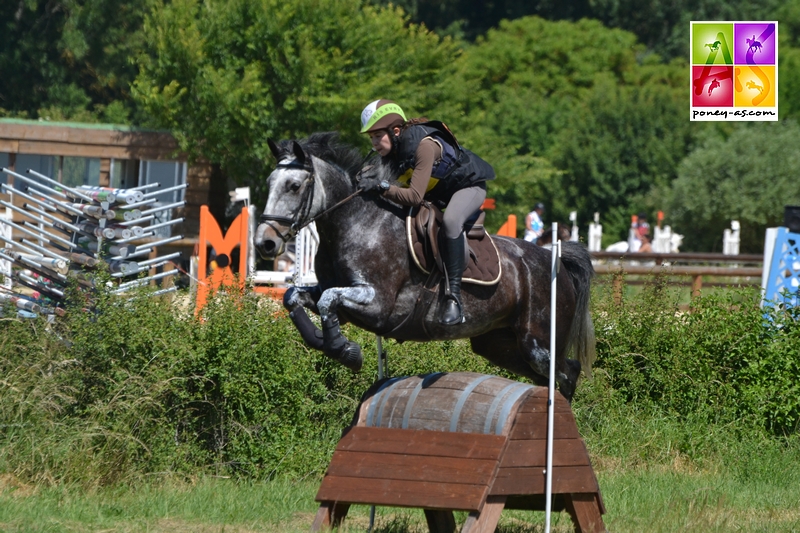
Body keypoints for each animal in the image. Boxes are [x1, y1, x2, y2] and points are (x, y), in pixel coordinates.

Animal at [256, 132, 592, 400]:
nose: (265, 243)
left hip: (538, 343)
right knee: (547, 376)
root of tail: (555, 261)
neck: (354, 222)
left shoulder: (378, 304)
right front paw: (324, 342)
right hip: (499, 344)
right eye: (269, 183)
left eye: (294, 186)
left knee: (567, 372)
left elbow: (328, 300)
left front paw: (346, 351)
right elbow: (293, 297)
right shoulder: (337, 294)